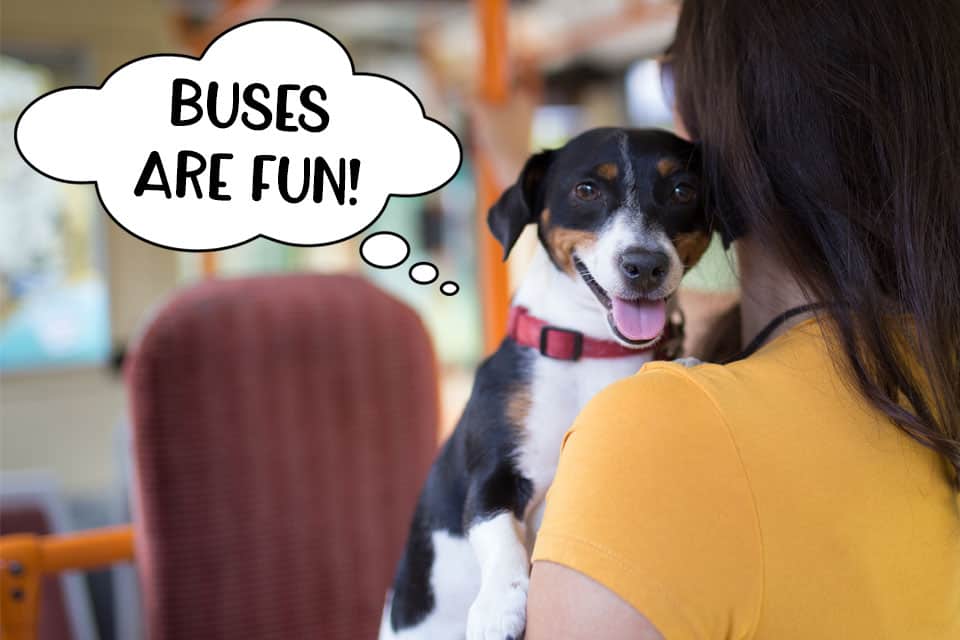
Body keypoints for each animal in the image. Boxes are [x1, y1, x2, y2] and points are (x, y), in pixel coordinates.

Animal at [378, 127, 708, 636]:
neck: (591, 349)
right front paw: (499, 606)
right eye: (586, 190)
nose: (645, 264)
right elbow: (499, 537)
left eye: (682, 191)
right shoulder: (493, 475)